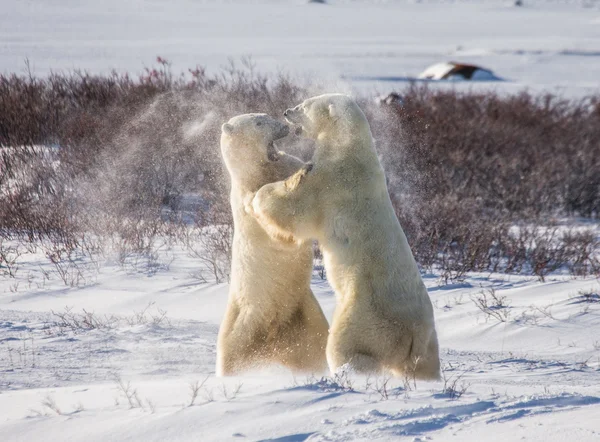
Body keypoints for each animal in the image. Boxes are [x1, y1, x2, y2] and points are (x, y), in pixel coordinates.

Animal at [216, 113, 328, 376]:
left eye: (265, 115)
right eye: (258, 122)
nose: (283, 126)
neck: (260, 172)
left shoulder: (284, 163)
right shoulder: (247, 201)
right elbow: (275, 221)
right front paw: (299, 177)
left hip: (303, 314)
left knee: (317, 345)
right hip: (243, 319)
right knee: (231, 353)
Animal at [248, 94, 440, 380]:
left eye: (304, 105)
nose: (286, 111)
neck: (349, 146)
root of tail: (414, 333)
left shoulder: (330, 181)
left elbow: (294, 208)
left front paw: (256, 197)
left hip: (364, 311)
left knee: (346, 343)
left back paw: (347, 369)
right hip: (428, 338)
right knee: (427, 363)